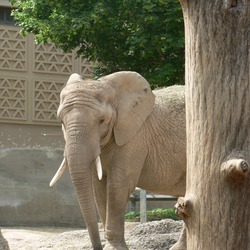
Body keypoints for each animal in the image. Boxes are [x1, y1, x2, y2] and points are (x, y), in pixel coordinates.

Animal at [50, 71, 186, 249]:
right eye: (61, 121)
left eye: (102, 121)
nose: (98, 248)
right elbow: (99, 187)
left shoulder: (135, 138)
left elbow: (118, 185)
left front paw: (113, 248)